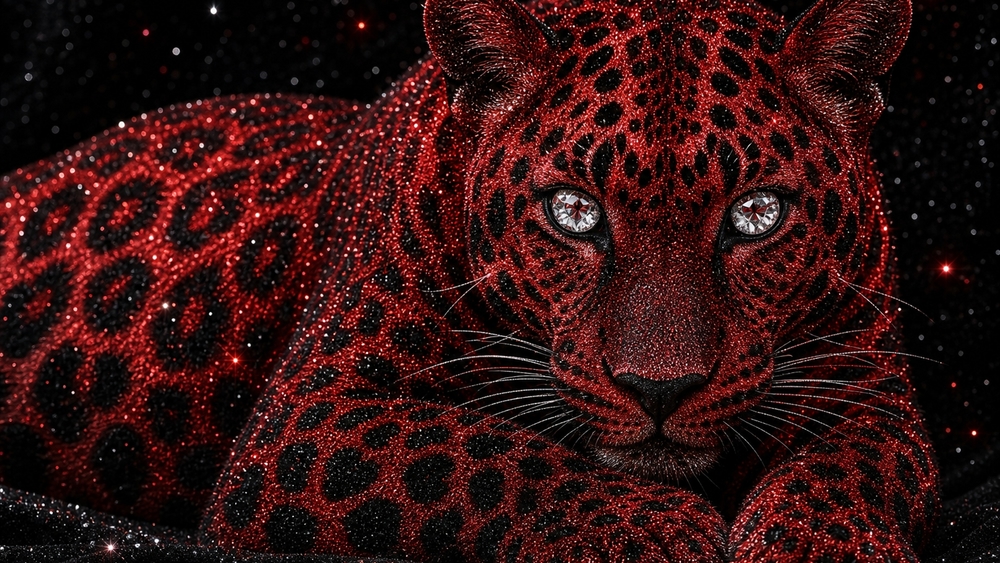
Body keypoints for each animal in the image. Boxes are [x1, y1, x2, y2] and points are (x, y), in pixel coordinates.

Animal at [0, 0, 938, 560]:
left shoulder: (873, 390)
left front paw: (821, 545)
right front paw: (658, 527)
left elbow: (846, 468)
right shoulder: (307, 419)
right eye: (573, 212)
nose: (659, 388)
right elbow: (482, 453)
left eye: (756, 214)